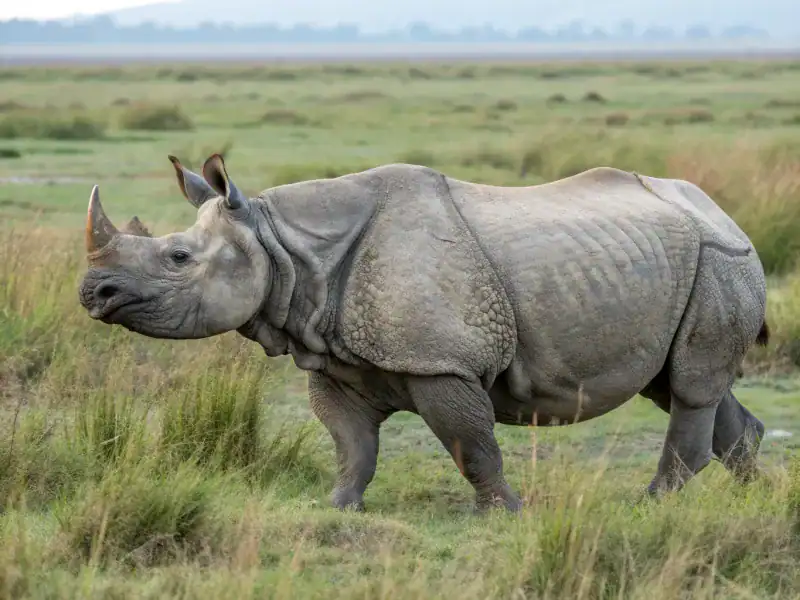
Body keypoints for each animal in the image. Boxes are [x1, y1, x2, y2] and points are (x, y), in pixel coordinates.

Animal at [78, 153, 769, 513]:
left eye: (177, 258)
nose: (92, 294)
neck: (284, 246)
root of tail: (726, 214)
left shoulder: (442, 363)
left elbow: (471, 444)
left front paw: (503, 514)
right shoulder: (335, 359)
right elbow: (352, 445)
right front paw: (338, 509)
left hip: (720, 259)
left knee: (690, 385)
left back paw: (650, 505)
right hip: (690, 264)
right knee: (676, 384)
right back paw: (754, 500)